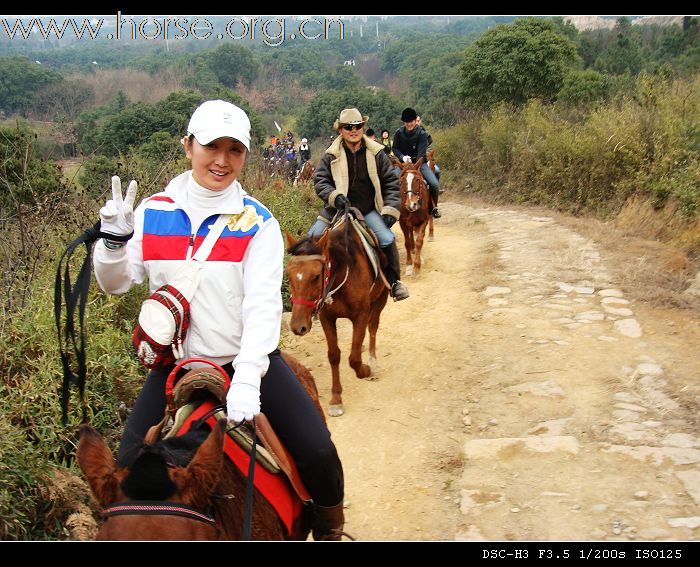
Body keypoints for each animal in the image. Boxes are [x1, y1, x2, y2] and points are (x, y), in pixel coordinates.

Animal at [288, 216, 392, 418]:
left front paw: (366, 369)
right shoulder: (327, 318)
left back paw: (372, 361)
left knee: (373, 327)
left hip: (381, 298)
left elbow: (354, 359)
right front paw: (336, 399)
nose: (298, 326)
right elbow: (334, 355)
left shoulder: (361, 315)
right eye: (288, 275)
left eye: (316, 276)